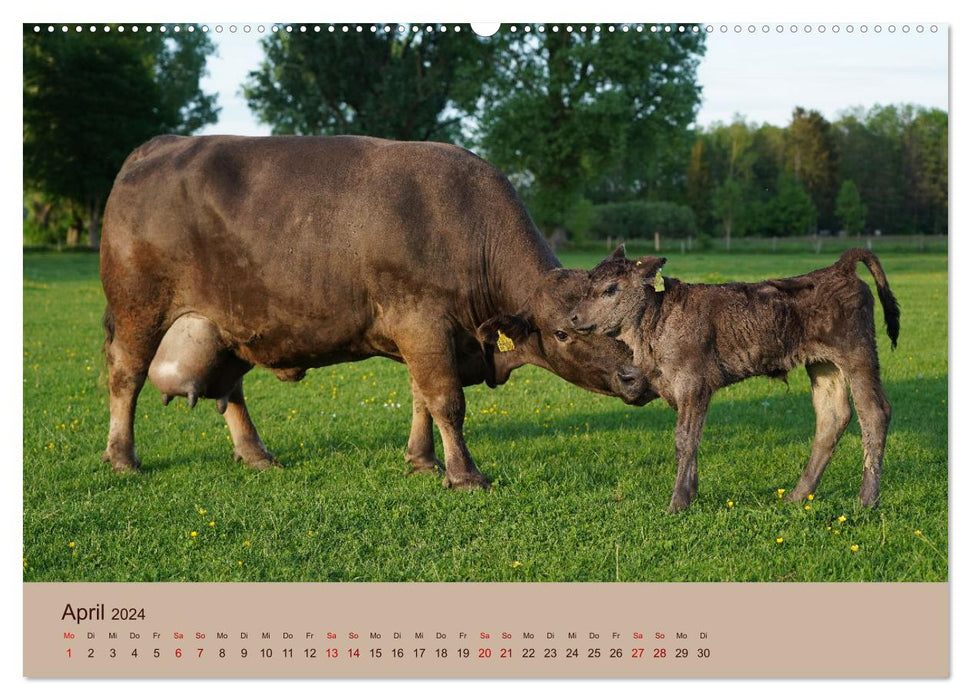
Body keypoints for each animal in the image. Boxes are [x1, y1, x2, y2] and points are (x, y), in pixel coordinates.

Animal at [100, 134, 652, 490]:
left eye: (624, 315)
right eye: (563, 332)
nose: (634, 377)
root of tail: (156, 146)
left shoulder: (428, 336)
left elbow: (421, 399)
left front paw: (422, 461)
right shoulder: (423, 323)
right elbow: (446, 400)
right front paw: (465, 475)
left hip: (227, 325)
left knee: (230, 390)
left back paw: (256, 455)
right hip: (137, 309)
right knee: (126, 376)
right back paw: (123, 458)